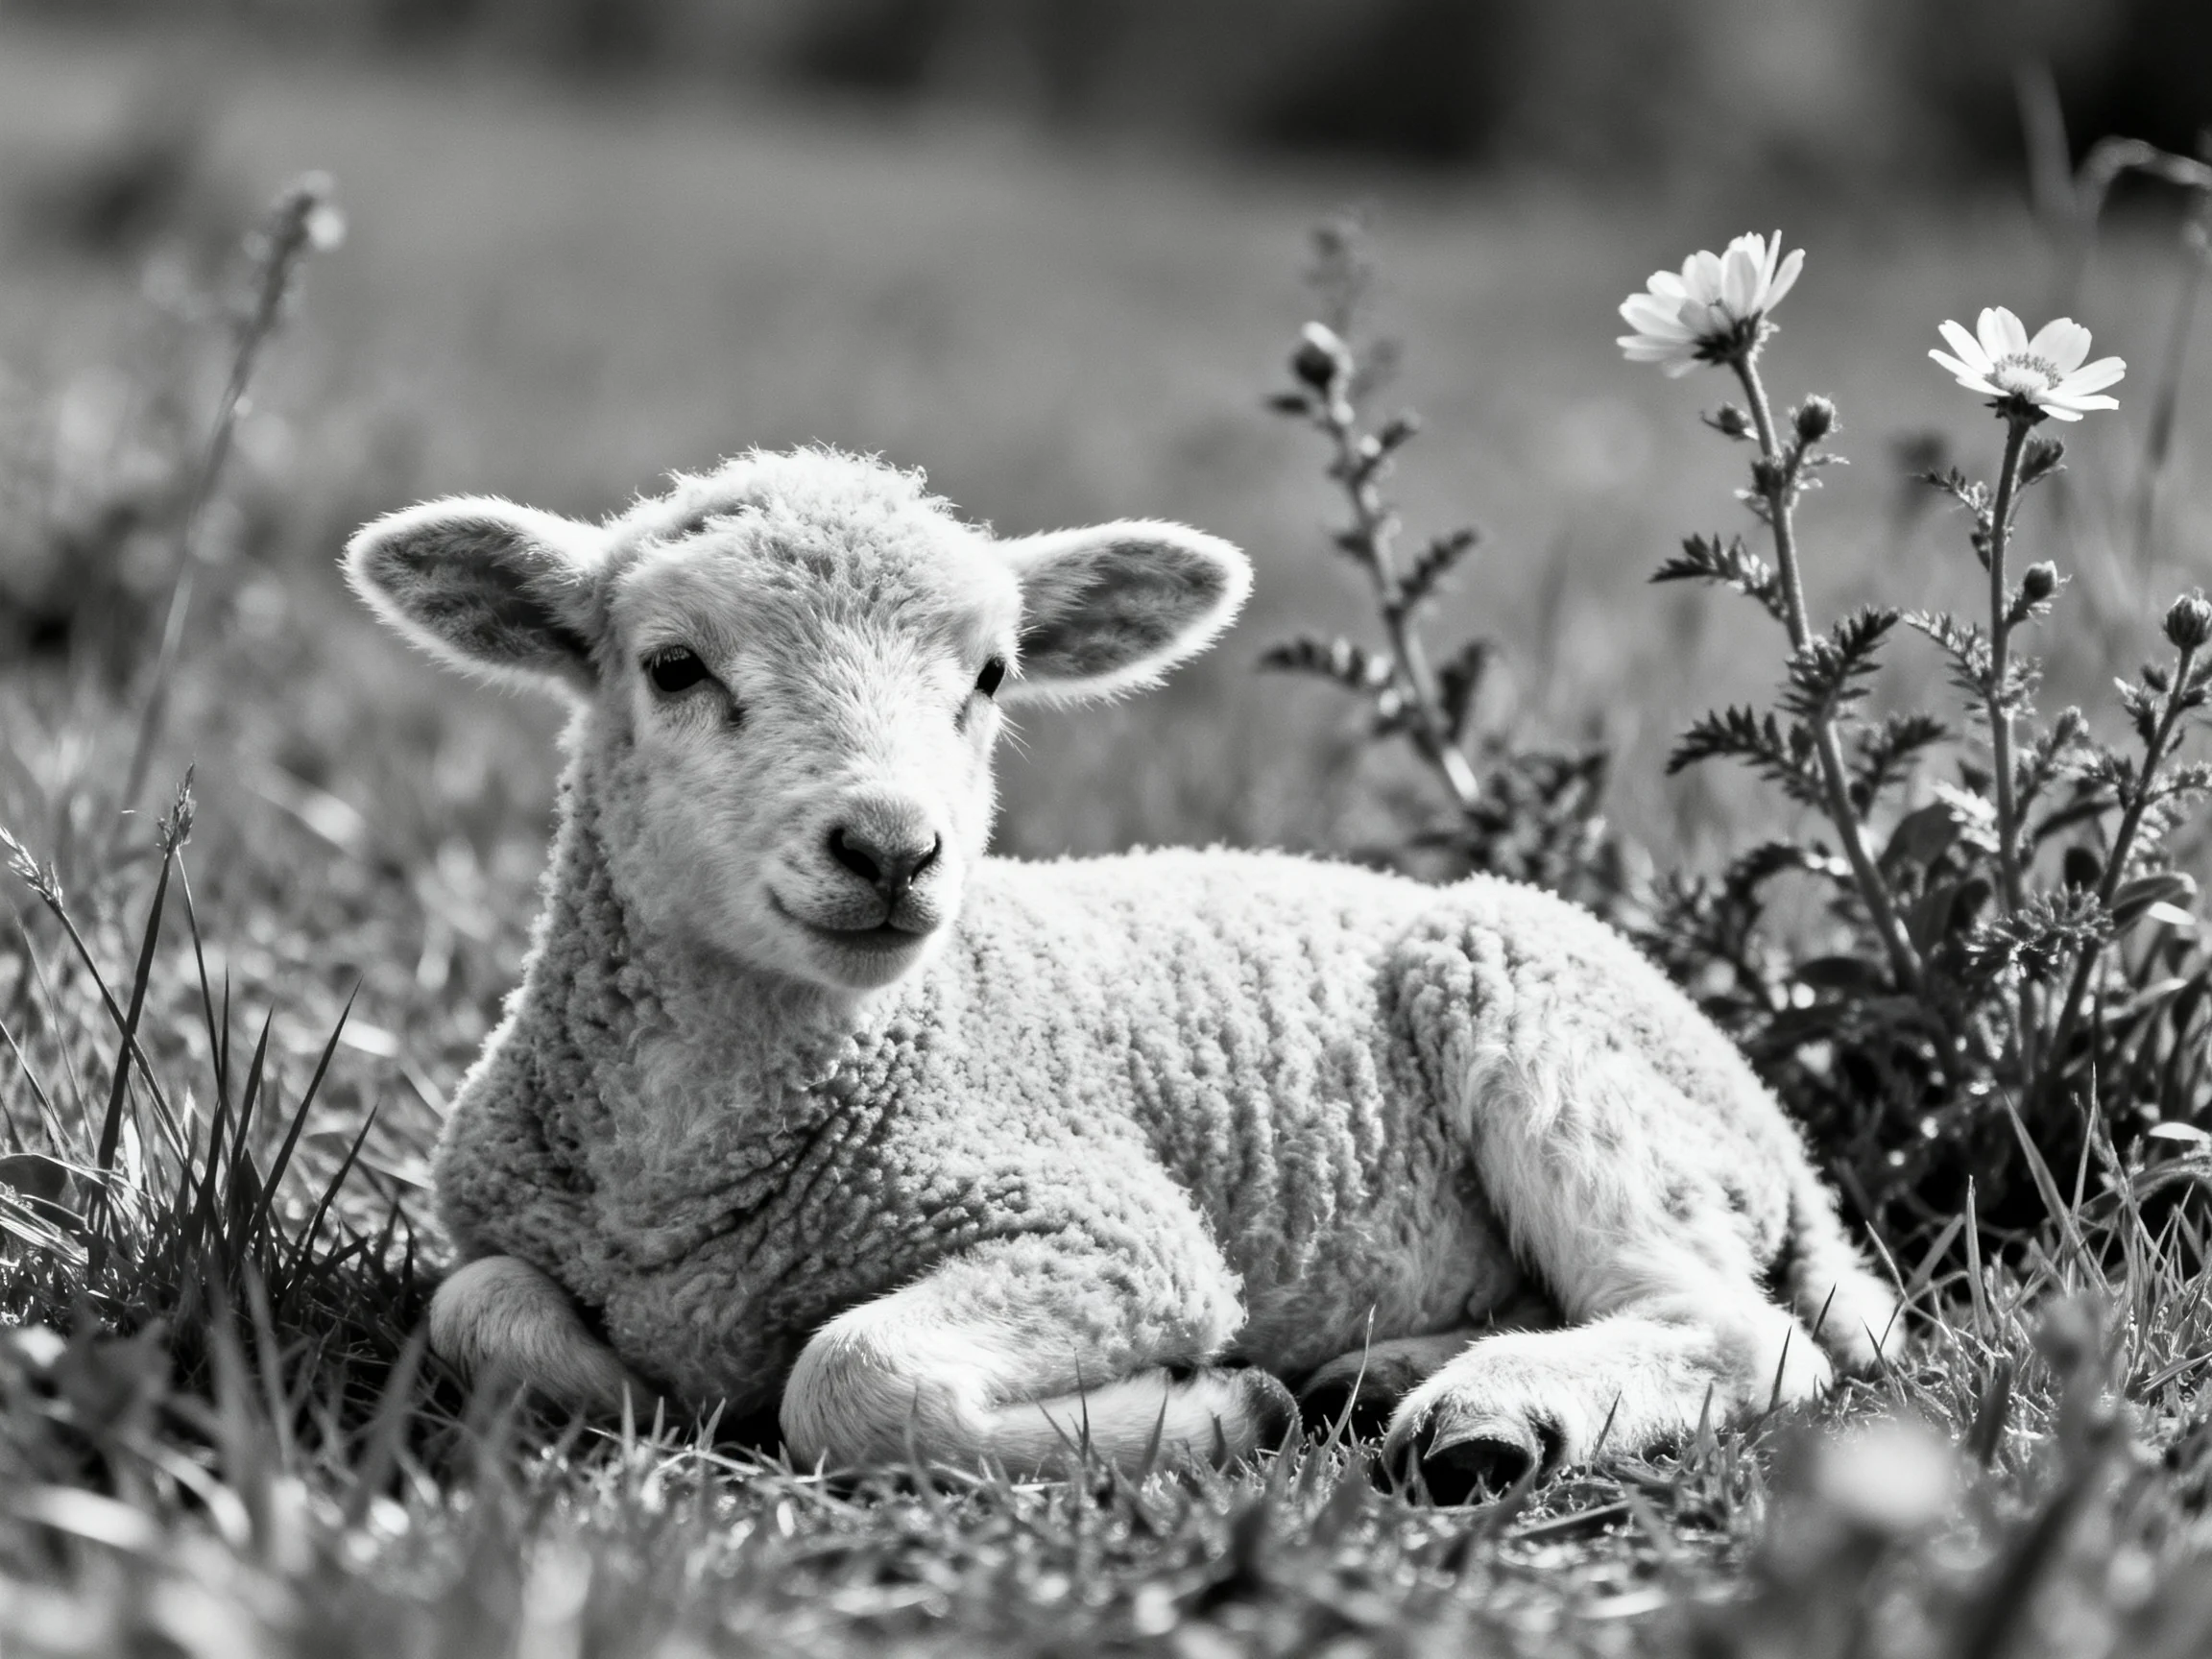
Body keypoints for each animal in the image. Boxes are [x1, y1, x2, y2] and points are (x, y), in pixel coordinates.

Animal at [346, 447, 1901, 1501]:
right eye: (672, 666)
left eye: (989, 677)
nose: (893, 850)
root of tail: (1787, 1146)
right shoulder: (501, 1228)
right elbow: (480, 1316)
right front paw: (638, 1387)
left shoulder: (1112, 1231)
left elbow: (852, 1374)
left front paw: (1217, 1412)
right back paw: (1387, 1371)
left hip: (1541, 1011)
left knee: (1741, 1332)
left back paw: (1484, 1419)